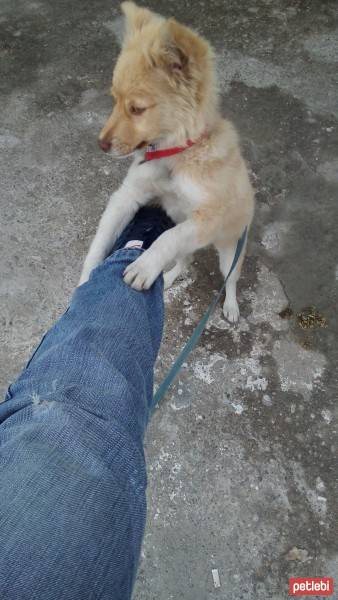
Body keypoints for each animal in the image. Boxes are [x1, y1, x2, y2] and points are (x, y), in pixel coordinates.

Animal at [79, 1, 254, 324]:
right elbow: (101, 237)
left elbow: (169, 237)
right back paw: (170, 277)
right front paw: (85, 279)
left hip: (230, 248)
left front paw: (144, 266)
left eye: (137, 109)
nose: (101, 144)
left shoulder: (210, 216)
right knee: (185, 261)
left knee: (230, 278)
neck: (174, 154)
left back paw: (231, 306)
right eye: (114, 99)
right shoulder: (128, 195)